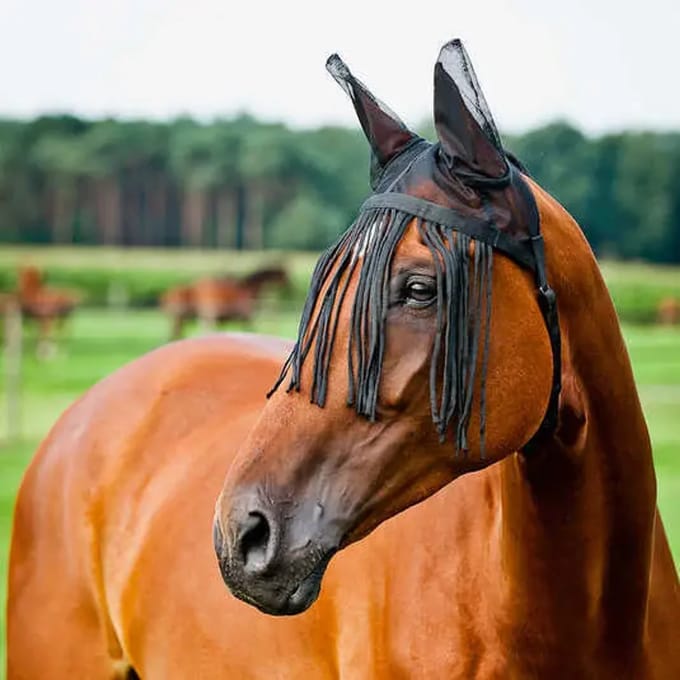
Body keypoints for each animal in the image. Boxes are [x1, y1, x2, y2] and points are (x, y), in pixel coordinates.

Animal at [159, 266, 291, 340]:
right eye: (284, 275)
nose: (290, 288)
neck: (248, 289)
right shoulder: (246, 317)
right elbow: (251, 330)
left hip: (182, 319)